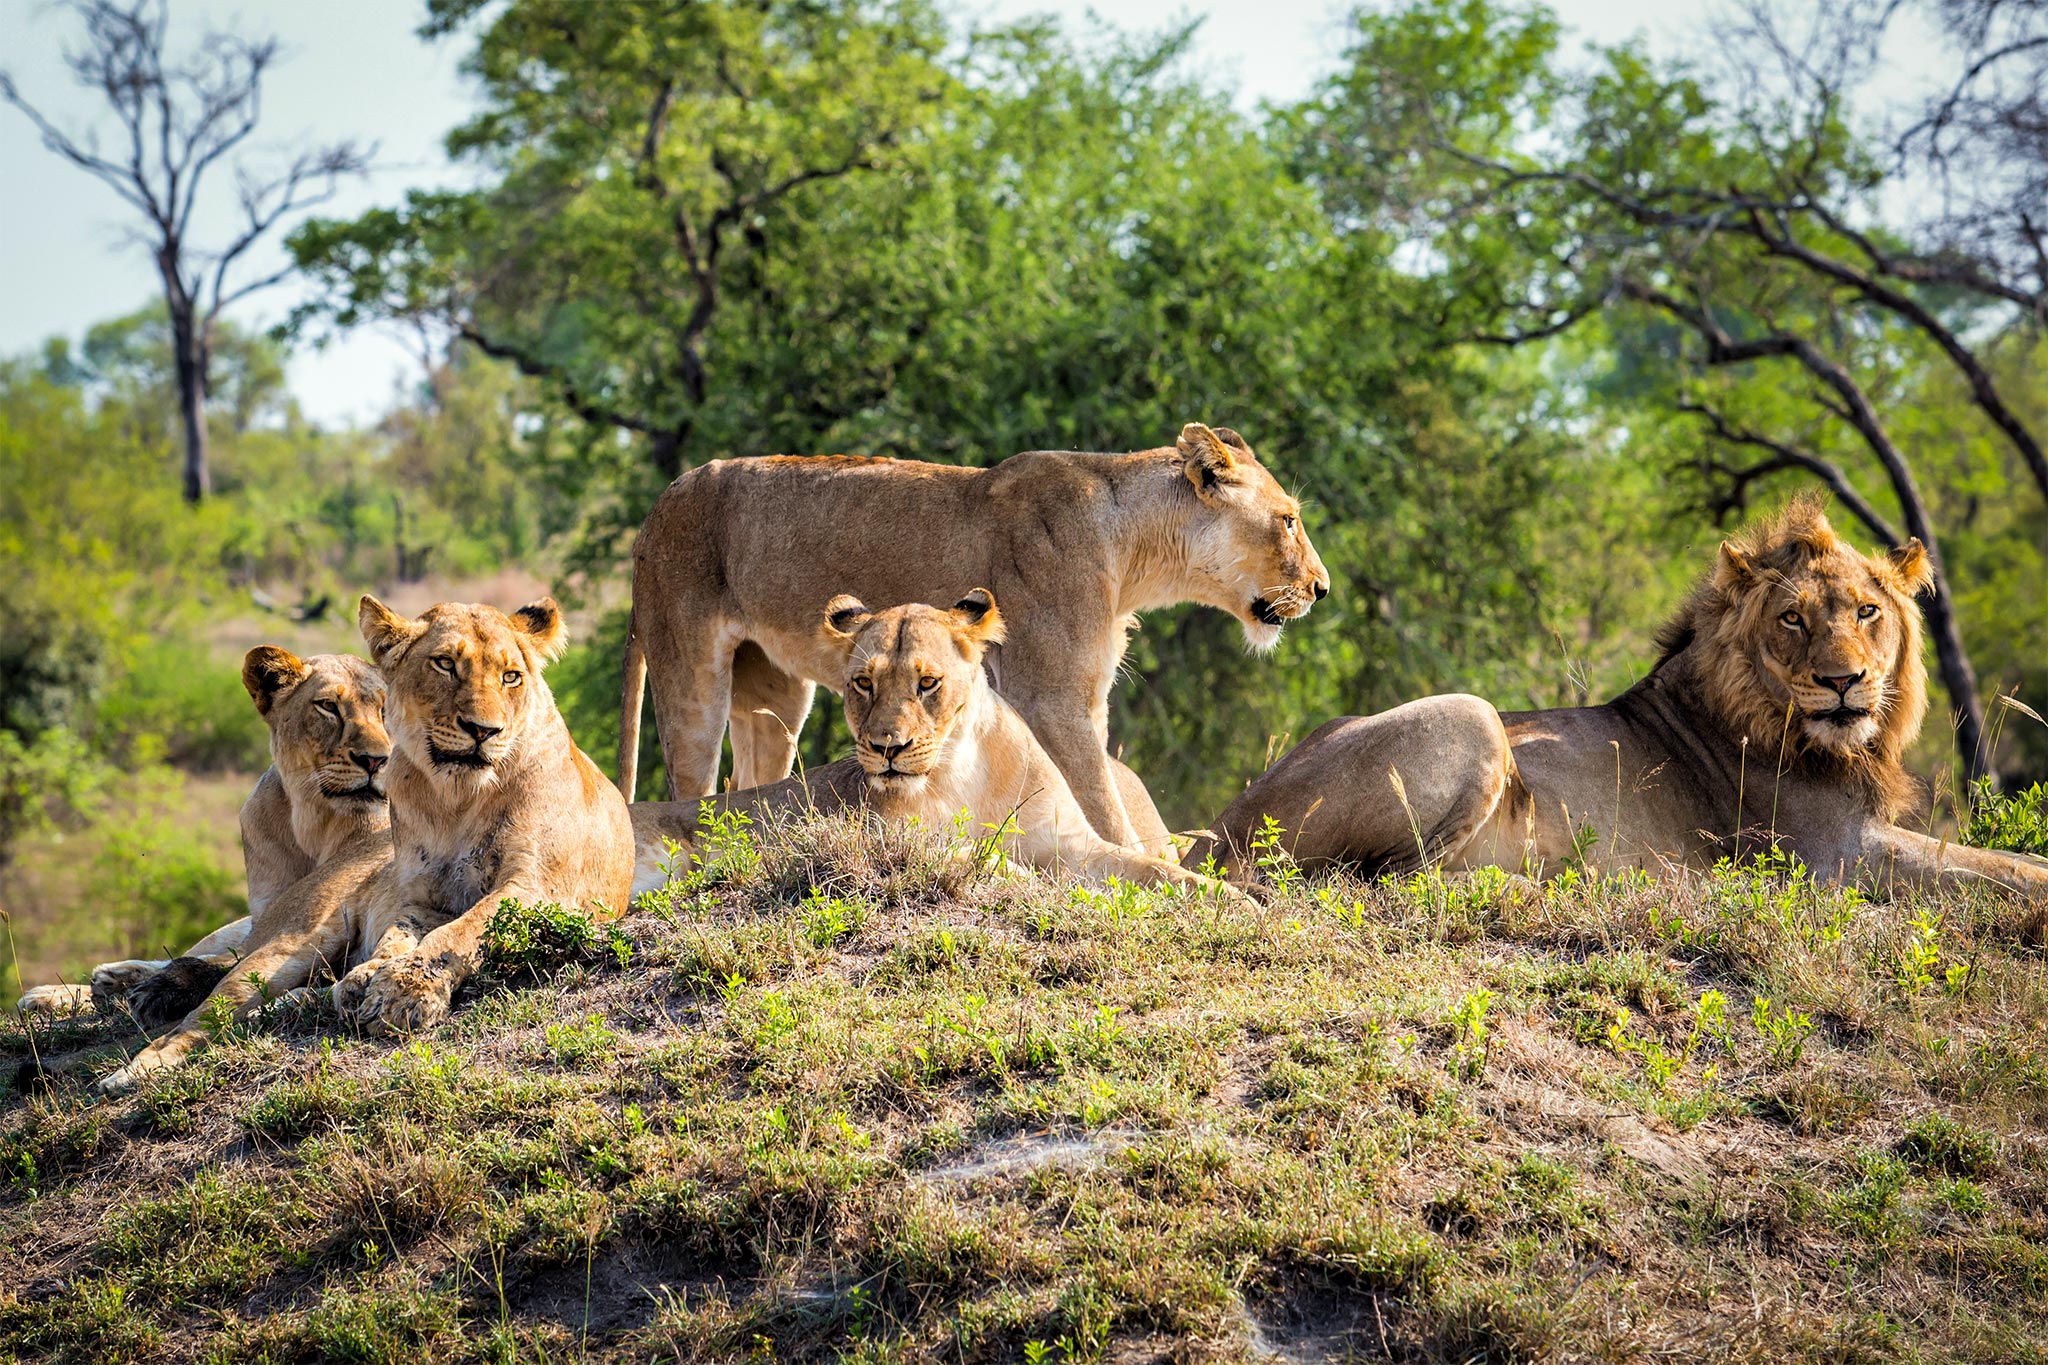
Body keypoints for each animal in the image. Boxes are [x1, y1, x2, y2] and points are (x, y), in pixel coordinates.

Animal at [14, 646, 391, 1019]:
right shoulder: (270, 914)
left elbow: (228, 965)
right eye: (328, 706)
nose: (376, 760)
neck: (312, 821)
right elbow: (225, 957)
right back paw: (72, 987)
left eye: (385, 710)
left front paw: (162, 989)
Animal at [618, 419, 1327, 855]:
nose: (1322, 588)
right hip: (690, 679)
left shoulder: (1086, 698)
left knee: (750, 782)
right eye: (1288, 520)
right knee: (691, 785)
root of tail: (658, 504)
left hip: (776, 698)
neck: (1134, 556)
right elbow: (1102, 804)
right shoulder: (1052, 697)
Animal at [630, 589, 1236, 900]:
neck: (961, 770)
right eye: (863, 683)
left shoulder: (1069, 842)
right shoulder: (886, 839)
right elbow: (978, 859)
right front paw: (1029, 880)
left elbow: (1159, 871)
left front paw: (1235, 902)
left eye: (927, 683)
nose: (887, 748)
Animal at [1196, 497, 2039, 900]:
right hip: (1471, 715)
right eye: (1794, 618)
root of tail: (1213, 833)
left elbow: (2005, 860)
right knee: (1383, 881)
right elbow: (1997, 869)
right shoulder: (1831, 855)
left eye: (1866, 611)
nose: (1843, 681)